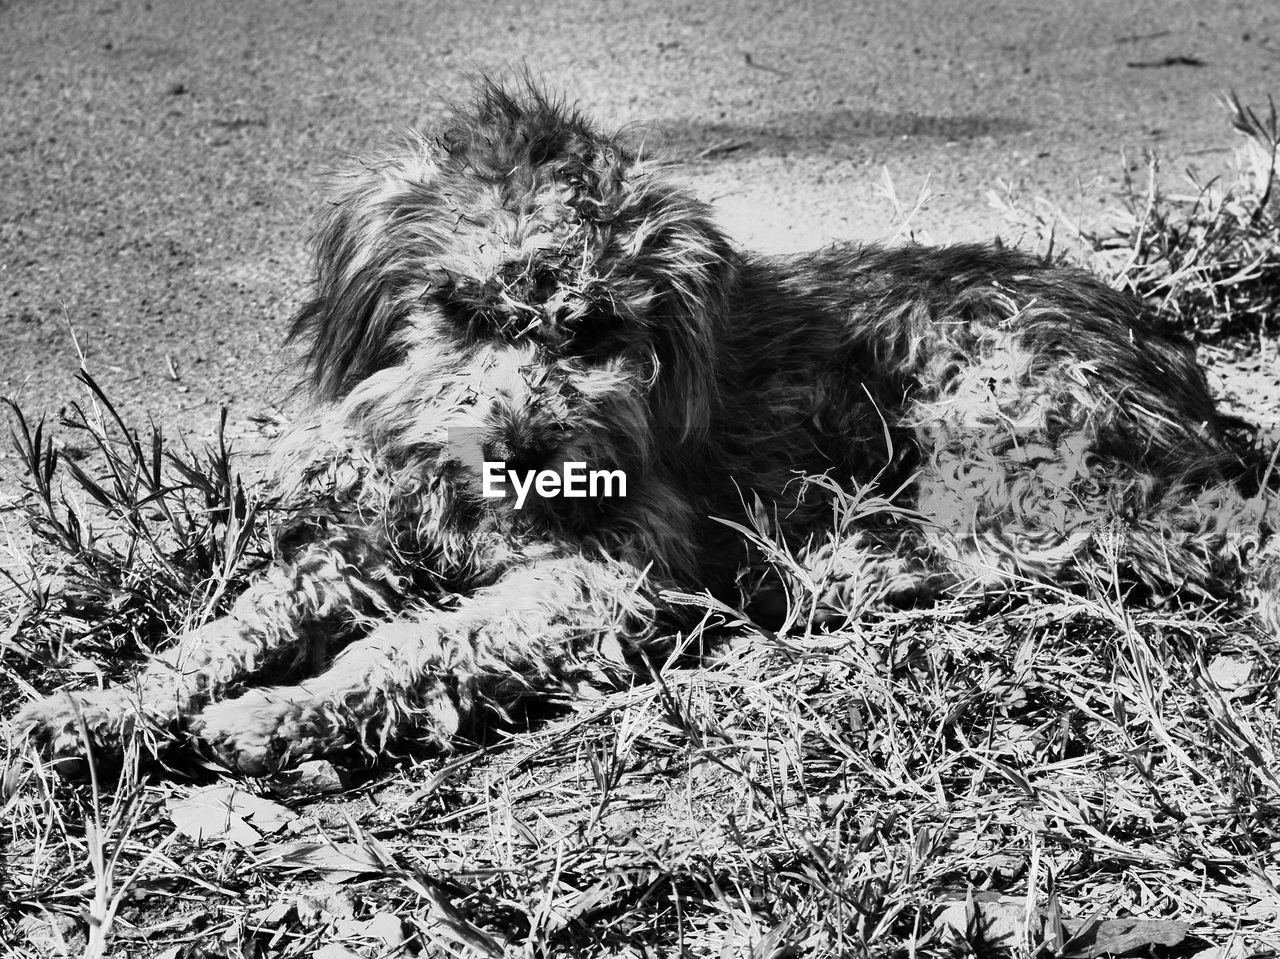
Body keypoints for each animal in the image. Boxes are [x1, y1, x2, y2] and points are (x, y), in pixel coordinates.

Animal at [17, 78, 1280, 773]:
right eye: (461, 312)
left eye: (592, 328)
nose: (520, 451)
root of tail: (1159, 346)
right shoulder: (358, 548)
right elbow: (223, 630)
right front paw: (99, 706)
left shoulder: (602, 577)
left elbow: (412, 645)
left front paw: (276, 713)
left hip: (991, 441)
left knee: (1195, 521)